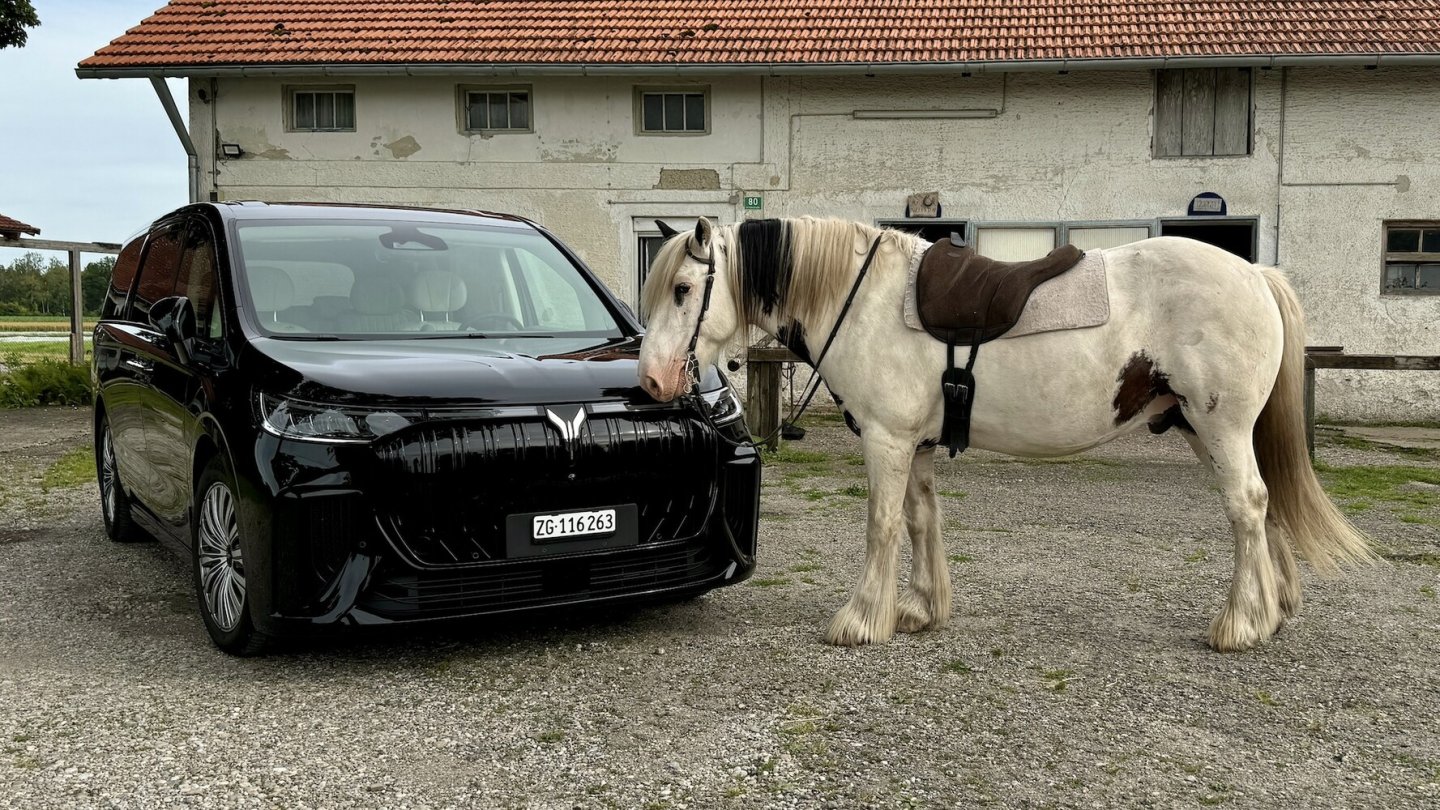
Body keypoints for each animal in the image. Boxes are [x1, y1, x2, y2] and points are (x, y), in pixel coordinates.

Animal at [636, 216, 1376, 652]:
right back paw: (1273, 611)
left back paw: (1240, 624)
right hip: (1202, 426)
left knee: (1247, 506)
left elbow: (881, 525)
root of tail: (1253, 272)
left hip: (1220, 426)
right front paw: (920, 610)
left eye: (682, 290)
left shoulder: (886, 440)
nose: (651, 380)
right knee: (1266, 504)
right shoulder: (915, 445)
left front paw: (862, 619)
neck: (861, 296)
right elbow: (921, 520)